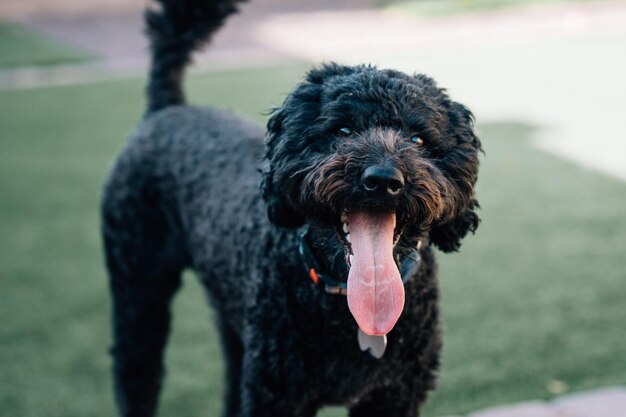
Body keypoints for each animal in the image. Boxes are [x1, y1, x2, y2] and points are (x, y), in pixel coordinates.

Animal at [101, 1, 478, 414]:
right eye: (342, 130)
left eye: (418, 139)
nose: (382, 179)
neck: (348, 307)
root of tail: (166, 110)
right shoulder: (277, 393)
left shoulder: (395, 395)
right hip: (138, 286)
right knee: (135, 372)